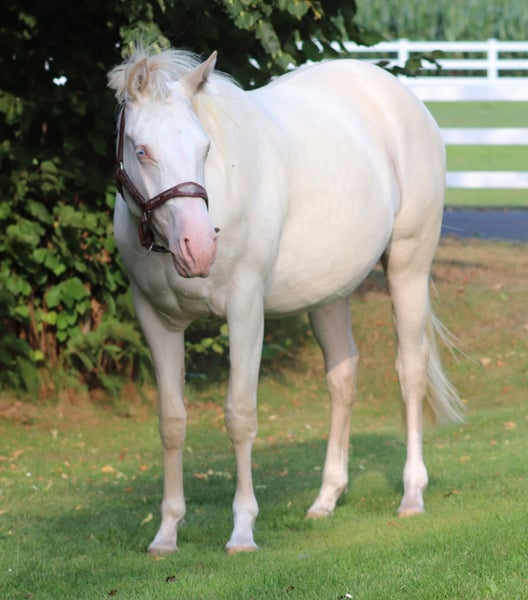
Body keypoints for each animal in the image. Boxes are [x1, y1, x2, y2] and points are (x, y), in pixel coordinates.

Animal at [107, 46, 463, 555]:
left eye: (204, 149)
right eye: (142, 150)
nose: (200, 248)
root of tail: (402, 98)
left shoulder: (245, 312)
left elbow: (240, 416)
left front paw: (242, 531)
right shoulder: (156, 320)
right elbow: (172, 422)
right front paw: (167, 533)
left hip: (408, 266)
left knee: (409, 372)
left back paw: (412, 494)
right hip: (329, 294)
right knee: (342, 378)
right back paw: (326, 499)